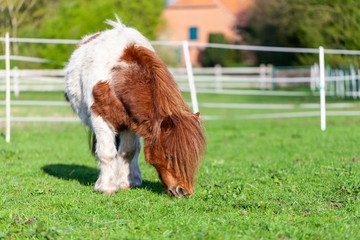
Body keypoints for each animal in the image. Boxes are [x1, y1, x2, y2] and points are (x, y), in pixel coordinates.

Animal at [64, 16, 205, 197]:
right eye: (169, 156)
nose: (184, 191)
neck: (117, 76)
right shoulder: (100, 118)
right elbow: (107, 152)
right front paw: (106, 187)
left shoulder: (131, 123)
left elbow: (128, 152)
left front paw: (125, 183)